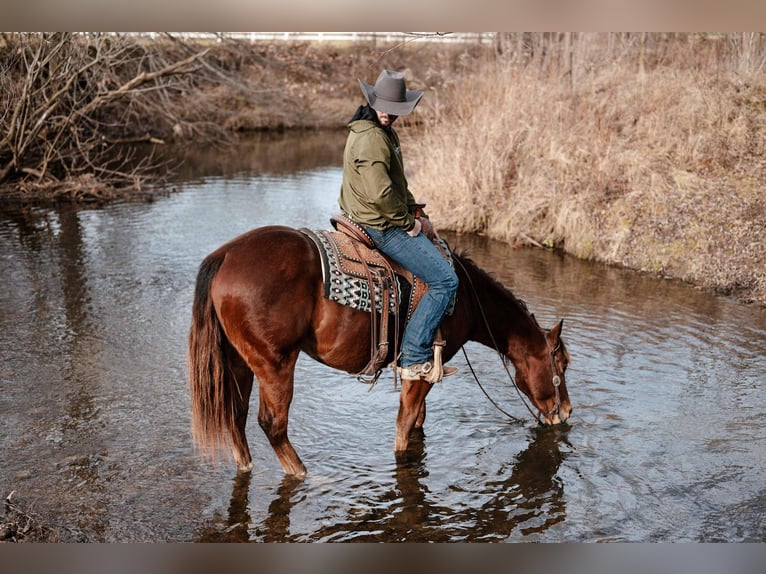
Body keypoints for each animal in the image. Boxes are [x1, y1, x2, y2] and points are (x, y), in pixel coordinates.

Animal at [188, 225, 572, 477]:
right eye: (563, 364)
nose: (566, 412)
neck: (466, 299)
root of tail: (224, 256)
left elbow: (417, 422)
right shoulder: (421, 372)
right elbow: (405, 425)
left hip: (240, 361)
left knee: (235, 417)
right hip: (276, 363)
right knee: (272, 424)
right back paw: (304, 474)